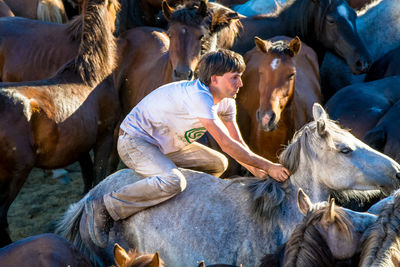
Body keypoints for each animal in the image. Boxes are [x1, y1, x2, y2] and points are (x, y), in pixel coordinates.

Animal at [0, 0, 120, 247]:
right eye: (117, 8)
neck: (90, 76)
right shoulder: (103, 138)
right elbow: (98, 178)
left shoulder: (78, 145)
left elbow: (87, 179)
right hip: (15, 174)